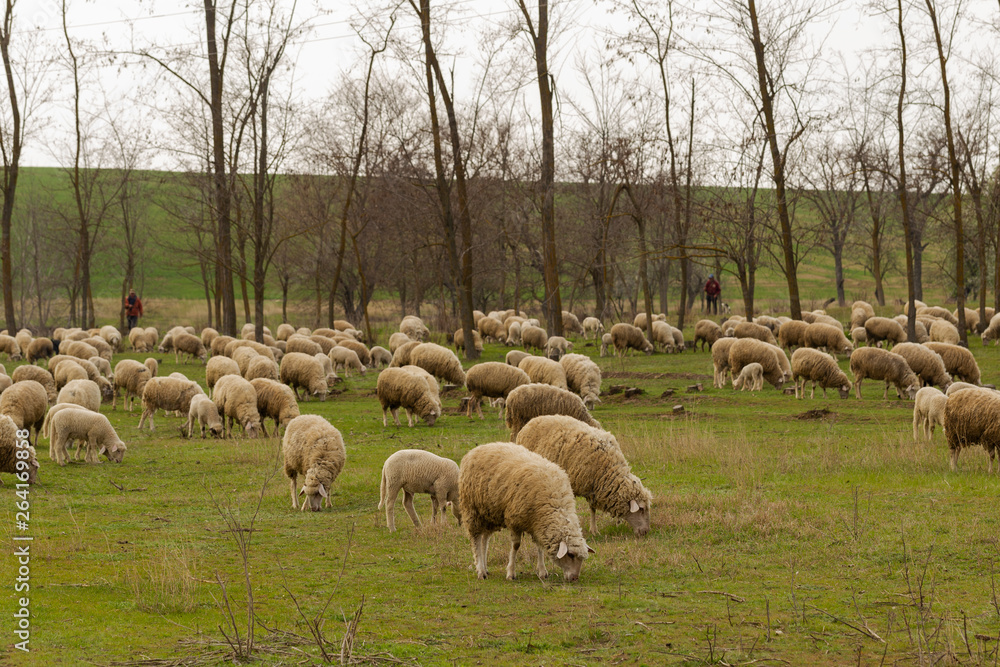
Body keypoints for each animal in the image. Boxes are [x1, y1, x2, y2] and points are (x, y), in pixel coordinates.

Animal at [459, 441, 593, 581]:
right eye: (570, 554)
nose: (574, 578)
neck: (555, 502)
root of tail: (479, 447)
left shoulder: (538, 524)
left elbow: (539, 546)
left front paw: (542, 571)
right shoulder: (515, 521)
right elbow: (516, 546)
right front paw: (511, 572)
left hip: (488, 513)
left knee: (485, 539)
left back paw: (485, 568)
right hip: (472, 510)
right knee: (476, 539)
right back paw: (480, 570)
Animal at [516, 415, 652, 536]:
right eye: (641, 509)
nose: (645, 532)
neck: (608, 468)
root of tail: (532, 421)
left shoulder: (593, 488)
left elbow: (592, 508)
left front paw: (594, 530)